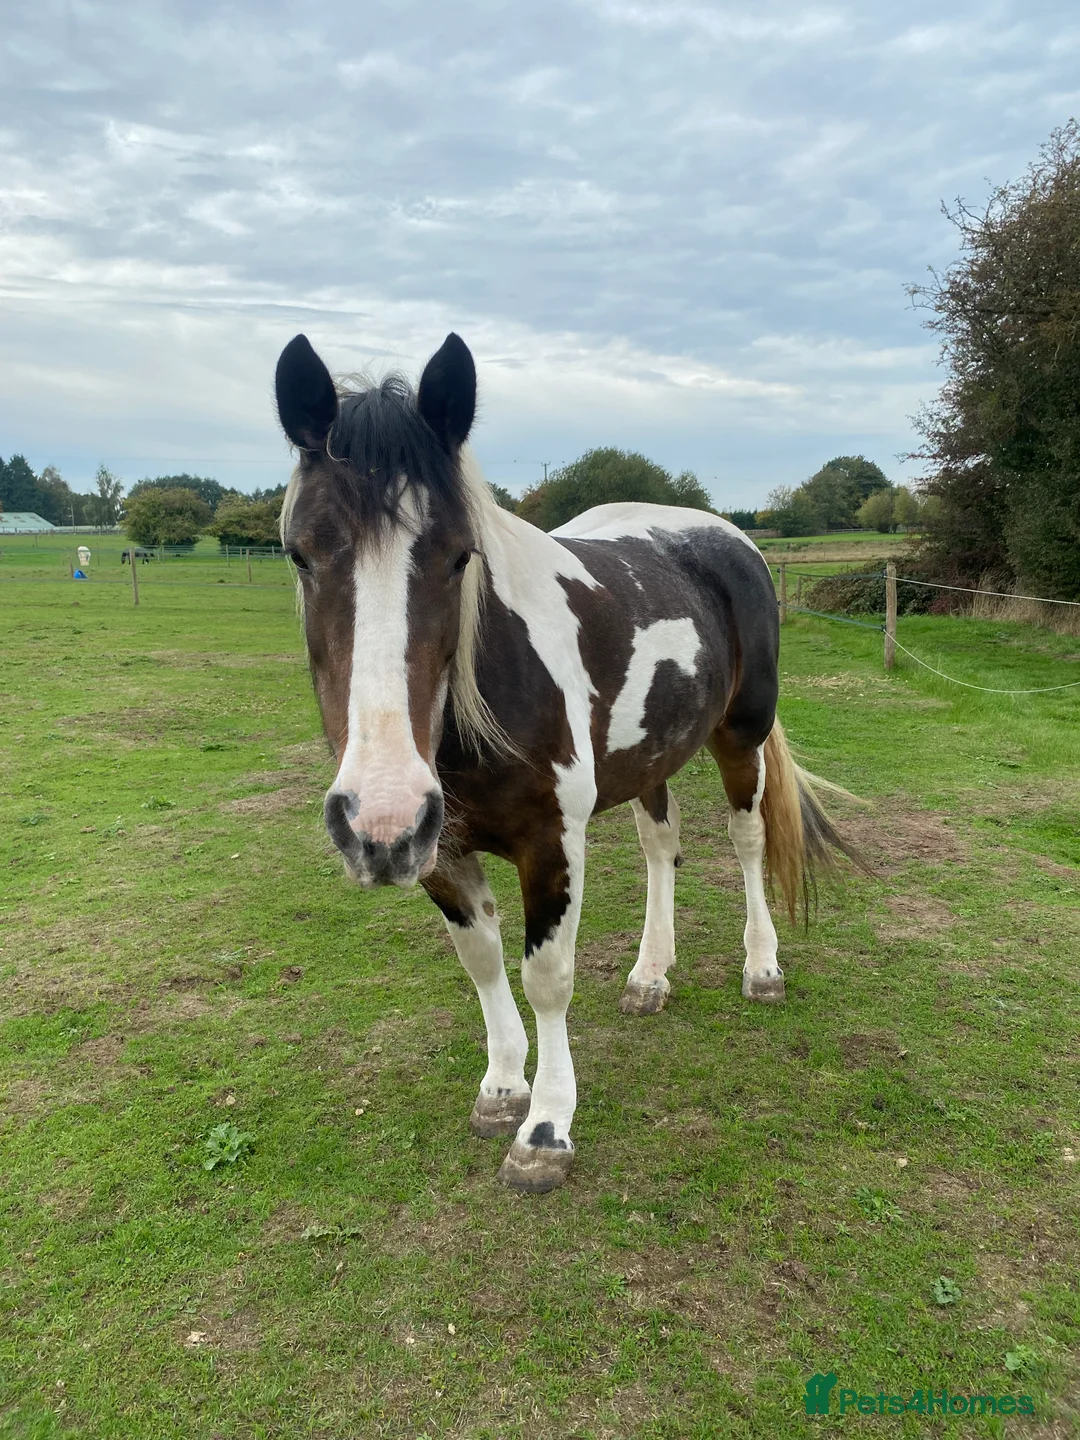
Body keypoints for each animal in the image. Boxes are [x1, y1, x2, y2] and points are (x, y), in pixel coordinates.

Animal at [274, 331, 856, 1194]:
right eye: (301, 555)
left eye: (460, 557)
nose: (379, 819)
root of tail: (724, 536)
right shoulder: (440, 849)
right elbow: (482, 960)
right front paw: (501, 1087)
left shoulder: (551, 842)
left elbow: (547, 978)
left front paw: (545, 1128)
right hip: (649, 757)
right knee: (660, 845)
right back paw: (651, 974)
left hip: (740, 738)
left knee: (747, 840)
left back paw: (762, 968)